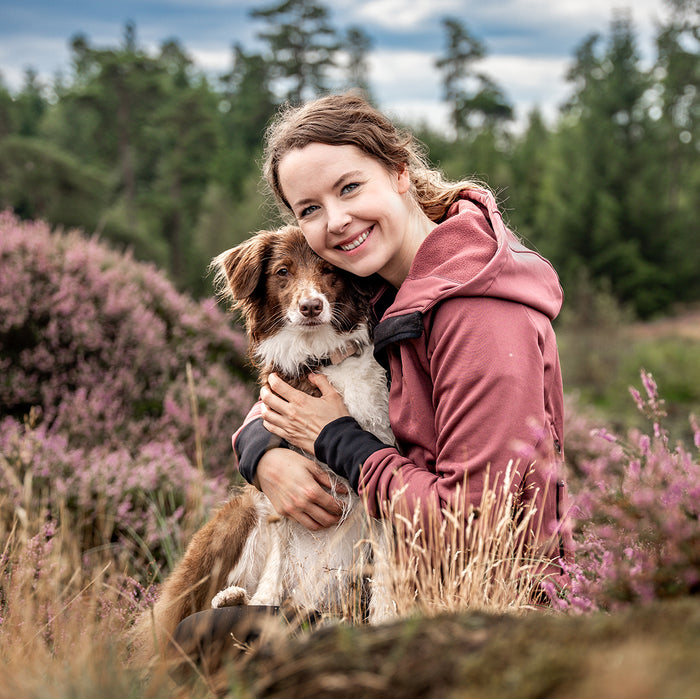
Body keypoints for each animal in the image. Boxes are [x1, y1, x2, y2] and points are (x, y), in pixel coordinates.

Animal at [137, 226, 396, 660]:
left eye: (329, 270)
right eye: (283, 272)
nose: (311, 306)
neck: (320, 357)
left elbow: (388, 568)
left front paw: (387, 618)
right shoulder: (281, 482)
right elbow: (278, 554)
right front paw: (264, 602)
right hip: (237, 516)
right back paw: (234, 599)